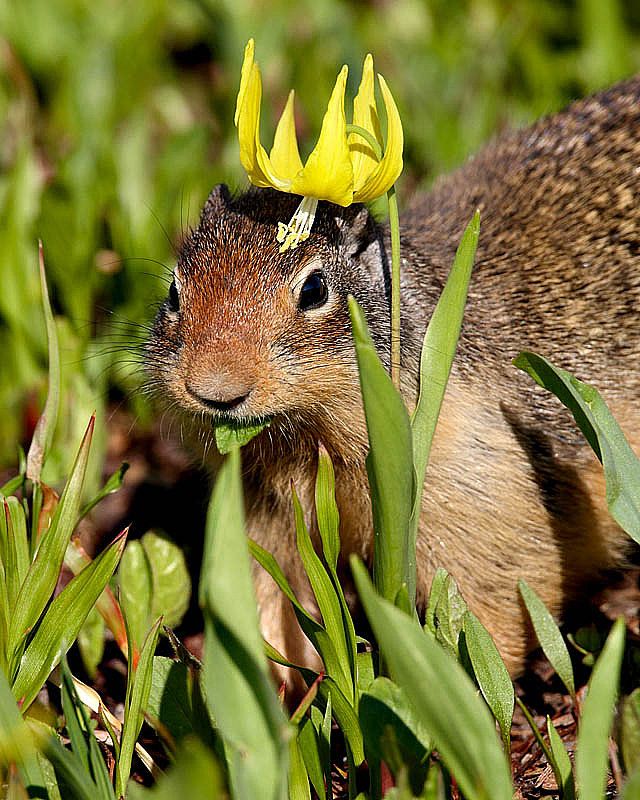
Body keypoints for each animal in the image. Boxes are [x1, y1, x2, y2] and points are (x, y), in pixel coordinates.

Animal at [146, 73, 640, 676]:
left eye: (315, 289)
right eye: (174, 291)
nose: (214, 390)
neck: (311, 446)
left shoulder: (484, 509)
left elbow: (488, 622)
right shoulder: (265, 519)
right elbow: (267, 605)